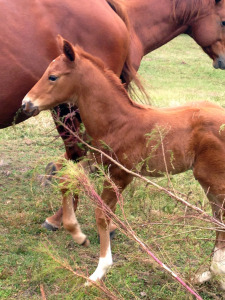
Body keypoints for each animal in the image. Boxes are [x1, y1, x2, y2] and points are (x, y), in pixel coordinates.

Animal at [21, 36, 225, 290]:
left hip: (212, 178)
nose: (25, 104)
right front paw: (77, 234)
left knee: (220, 220)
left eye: (52, 77)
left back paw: (215, 272)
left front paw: (98, 272)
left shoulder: (121, 174)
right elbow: (67, 177)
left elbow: (102, 215)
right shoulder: (98, 163)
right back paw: (210, 274)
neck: (116, 122)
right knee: (217, 220)